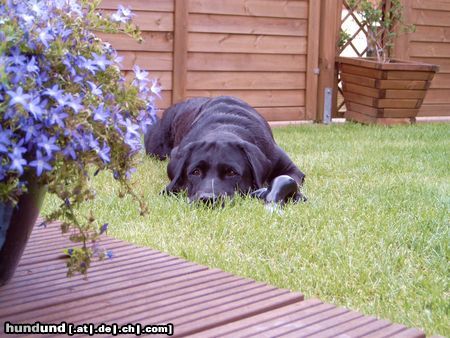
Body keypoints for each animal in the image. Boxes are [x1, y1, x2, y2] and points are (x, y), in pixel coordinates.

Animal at [144, 96, 306, 203]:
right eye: (195, 172)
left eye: (231, 172)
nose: (208, 199)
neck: (224, 127)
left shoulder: (289, 167)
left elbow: (287, 180)